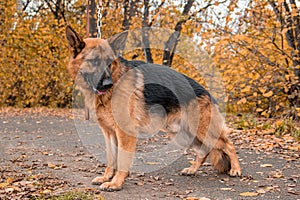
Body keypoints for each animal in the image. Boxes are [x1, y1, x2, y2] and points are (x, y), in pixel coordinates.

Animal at [65, 25, 241, 191]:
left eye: (110, 62)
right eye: (94, 61)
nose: (108, 84)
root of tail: (207, 92)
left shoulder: (125, 133)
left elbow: (122, 159)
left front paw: (116, 183)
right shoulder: (109, 133)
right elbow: (111, 158)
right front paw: (107, 177)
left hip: (202, 131)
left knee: (228, 144)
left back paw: (236, 170)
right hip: (184, 135)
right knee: (204, 151)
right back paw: (192, 170)